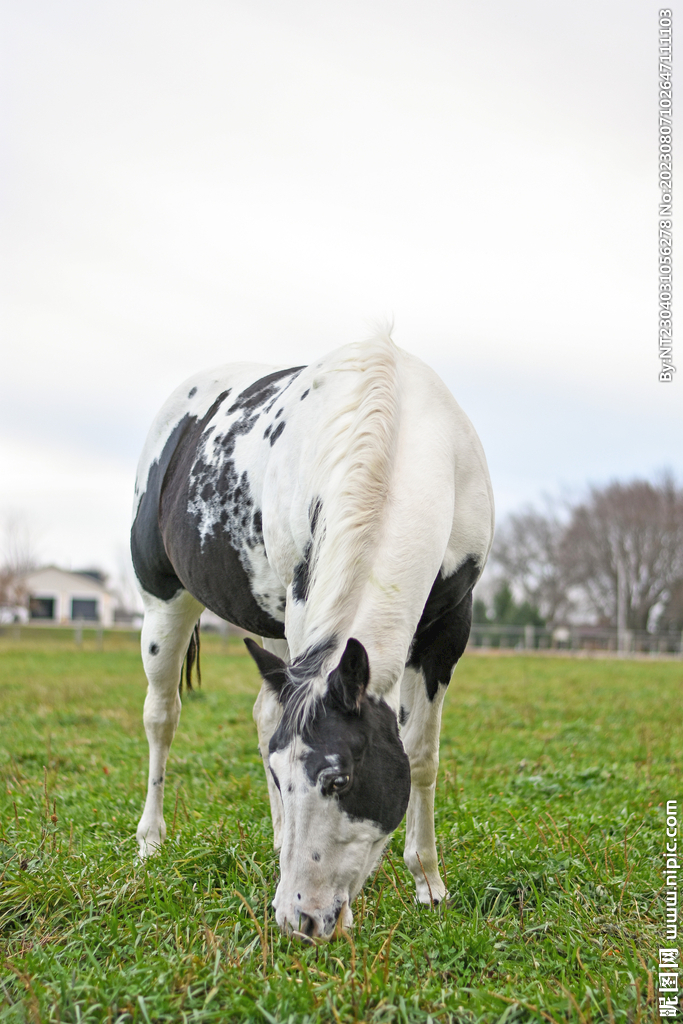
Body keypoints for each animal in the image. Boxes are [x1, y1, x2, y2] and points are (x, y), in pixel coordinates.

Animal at [130, 330, 494, 941]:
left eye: (340, 781)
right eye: (281, 780)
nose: (300, 917)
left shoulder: (448, 631)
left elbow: (421, 755)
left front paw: (428, 882)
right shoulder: (307, 610)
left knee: (262, 712)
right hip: (165, 603)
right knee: (162, 717)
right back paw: (151, 841)